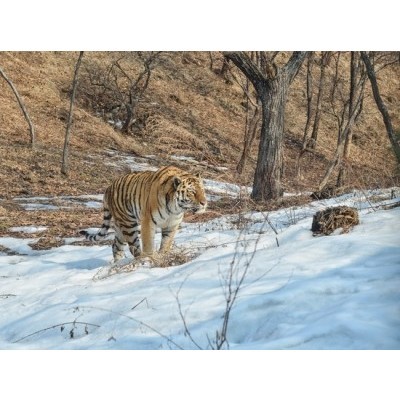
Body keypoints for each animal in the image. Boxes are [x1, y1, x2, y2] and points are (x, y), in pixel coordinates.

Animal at [80, 165, 208, 262]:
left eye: (203, 190)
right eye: (192, 192)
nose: (204, 202)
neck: (175, 209)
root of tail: (109, 188)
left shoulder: (172, 224)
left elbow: (166, 243)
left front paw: (164, 256)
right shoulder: (148, 221)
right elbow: (148, 244)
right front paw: (151, 259)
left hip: (120, 227)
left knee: (116, 246)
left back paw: (116, 265)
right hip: (128, 224)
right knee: (134, 248)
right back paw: (140, 260)